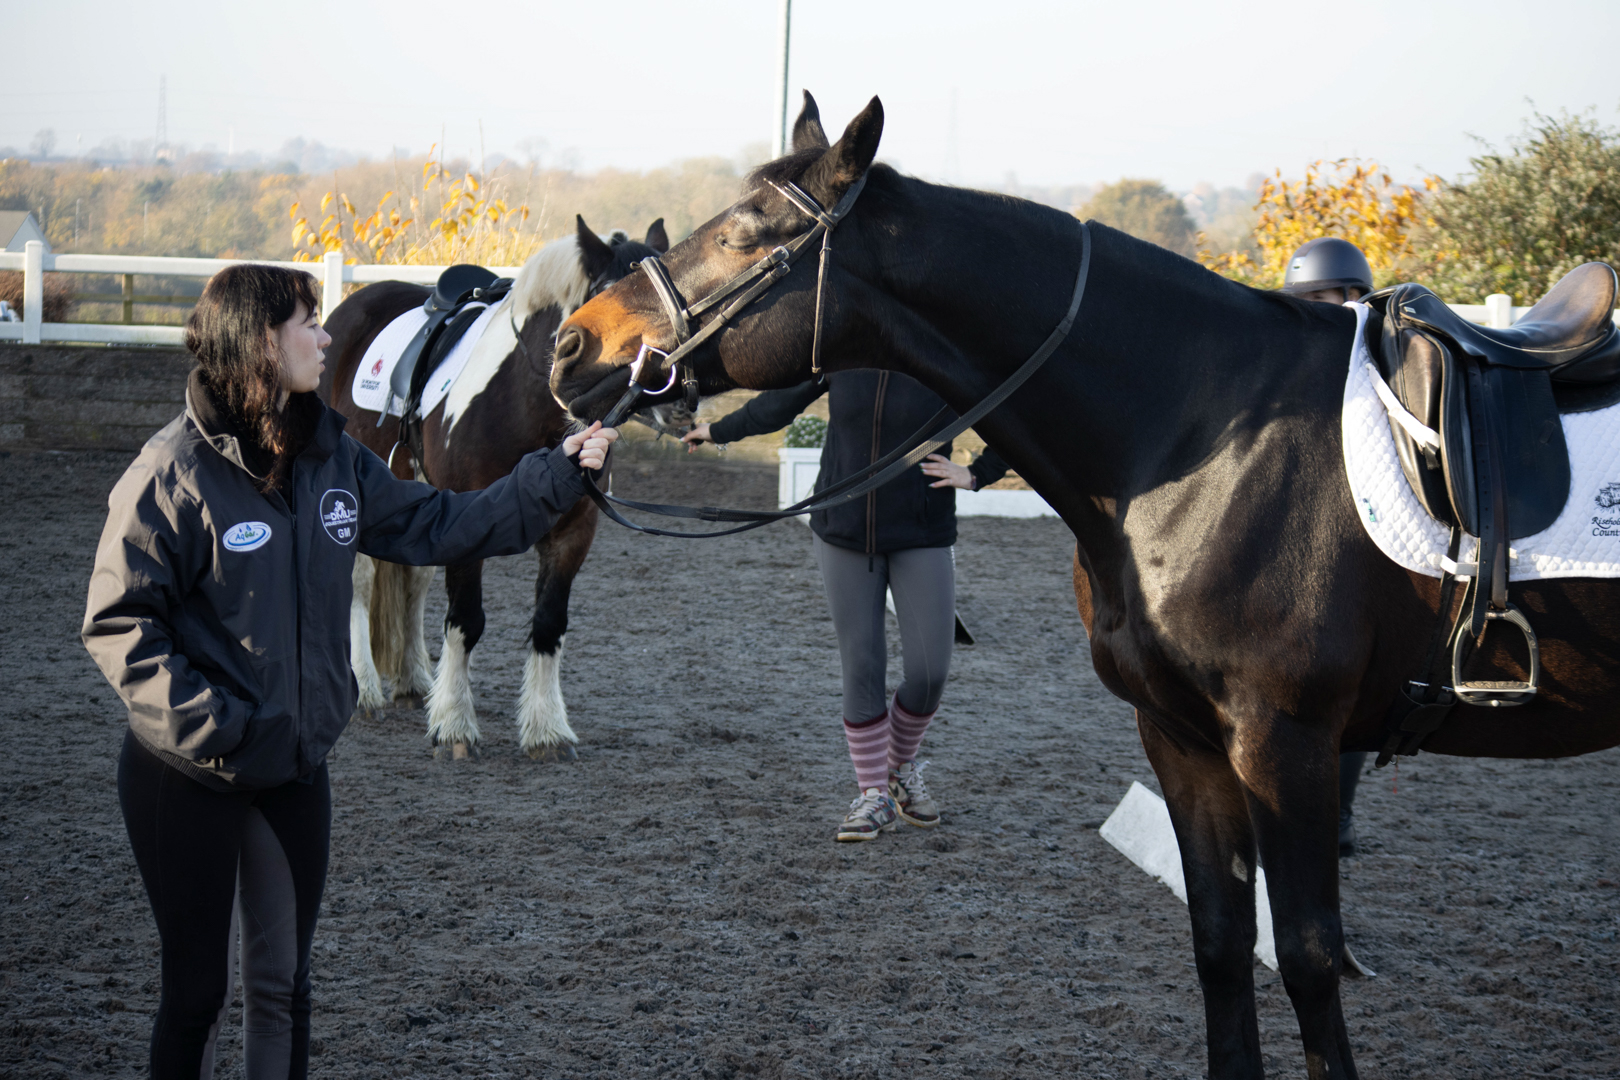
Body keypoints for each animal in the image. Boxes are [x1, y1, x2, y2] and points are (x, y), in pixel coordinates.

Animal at [320, 216, 671, 760]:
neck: (522, 402)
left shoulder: (574, 532)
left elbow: (549, 622)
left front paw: (546, 730)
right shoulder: (468, 524)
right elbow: (466, 619)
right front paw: (454, 726)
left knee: (412, 582)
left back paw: (414, 681)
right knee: (359, 582)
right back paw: (365, 689)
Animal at [547, 94, 1620, 1077]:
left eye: (744, 233)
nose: (572, 346)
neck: (1205, 430)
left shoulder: (1288, 742)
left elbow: (1309, 961)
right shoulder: (1183, 738)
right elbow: (1222, 944)